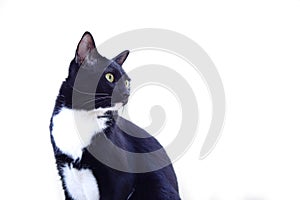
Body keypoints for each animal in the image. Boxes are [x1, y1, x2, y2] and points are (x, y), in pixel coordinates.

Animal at [49, 32, 180, 199]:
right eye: (109, 77)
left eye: (127, 82)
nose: (126, 94)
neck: (82, 116)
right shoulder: (66, 172)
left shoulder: (120, 179)